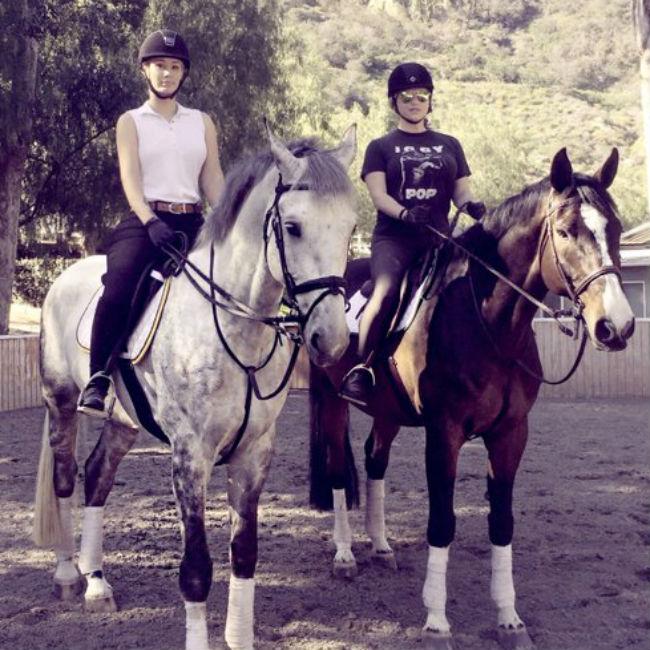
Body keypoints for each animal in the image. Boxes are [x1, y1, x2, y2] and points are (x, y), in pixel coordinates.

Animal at [32, 126, 358, 650]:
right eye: (292, 227)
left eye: (350, 228)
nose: (331, 340)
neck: (235, 326)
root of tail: (66, 275)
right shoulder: (191, 453)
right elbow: (197, 570)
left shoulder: (254, 452)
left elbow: (244, 553)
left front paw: (239, 637)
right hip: (60, 402)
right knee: (65, 477)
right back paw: (67, 574)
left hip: (124, 421)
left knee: (97, 476)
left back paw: (97, 582)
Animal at [308, 148, 635, 650]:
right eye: (564, 232)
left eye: (614, 229)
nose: (615, 326)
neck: (487, 322)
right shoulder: (444, 434)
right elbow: (442, 523)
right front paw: (437, 623)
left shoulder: (511, 433)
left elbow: (501, 522)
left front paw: (509, 620)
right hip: (332, 399)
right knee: (339, 469)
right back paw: (345, 556)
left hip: (387, 412)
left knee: (374, 461)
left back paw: (380, 547)